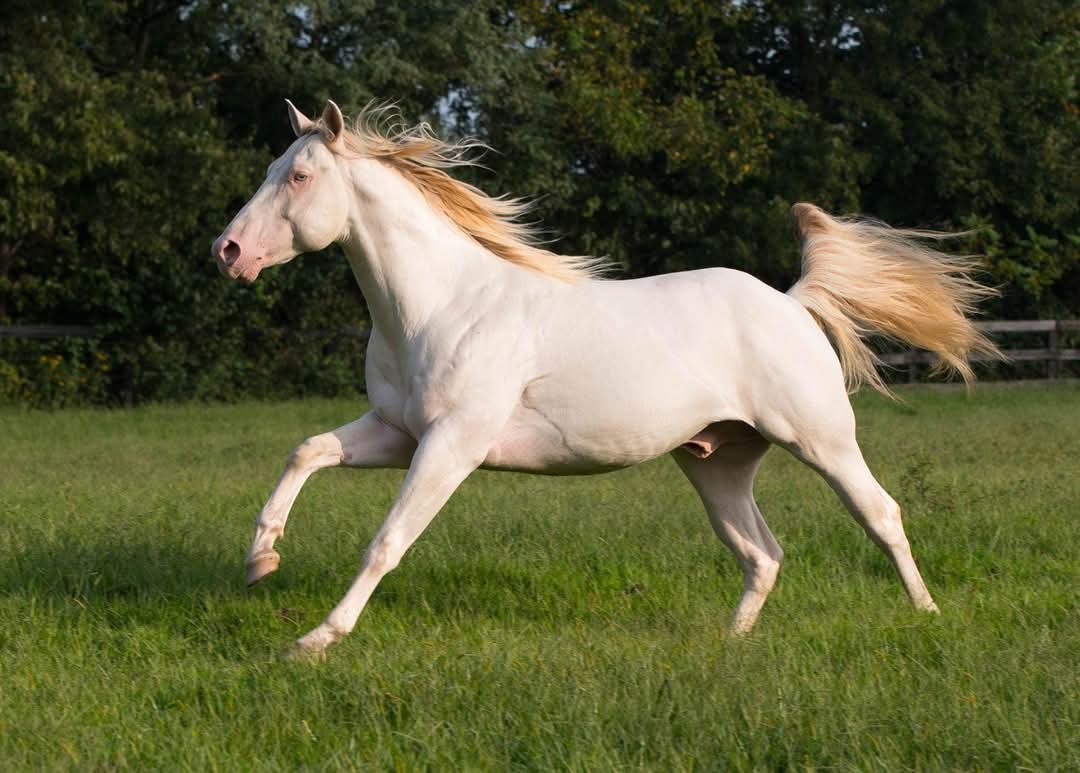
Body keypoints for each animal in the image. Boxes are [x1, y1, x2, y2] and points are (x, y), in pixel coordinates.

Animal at [212, 100, 998, 659]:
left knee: (881, 514)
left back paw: (926, 615)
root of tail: (792, 300)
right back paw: (729, 644)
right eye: (270, 168)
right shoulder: (397, 432)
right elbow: (307, 450)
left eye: (299, 176)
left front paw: (314, 640)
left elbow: (387, 540)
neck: (439, 304)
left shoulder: (452, 443)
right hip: (716, 464)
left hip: (822, 441)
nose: (228, 251)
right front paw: (261, 560)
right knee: (762, 553)